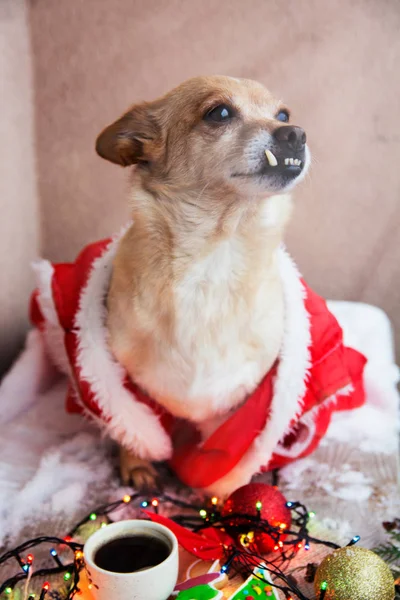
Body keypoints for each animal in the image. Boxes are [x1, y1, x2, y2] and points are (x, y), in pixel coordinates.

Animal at [95, 75, 310, 490]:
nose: (296, 133)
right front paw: (137, 463)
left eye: (283, 114)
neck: (215, 257)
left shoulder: (247, 398)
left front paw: (224, 494)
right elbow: (133, 424)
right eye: (219, 113)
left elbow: (229, 451)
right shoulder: (125, 377)